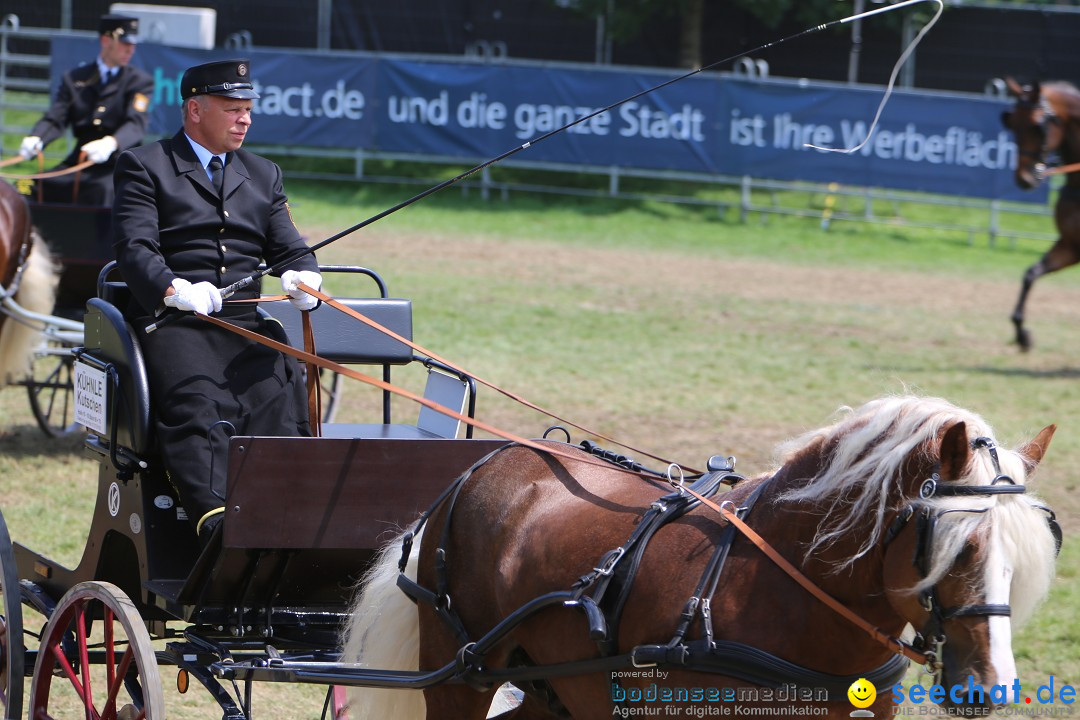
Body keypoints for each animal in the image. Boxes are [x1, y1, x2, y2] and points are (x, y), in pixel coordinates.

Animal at [341, 397, 1058, 716]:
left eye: (1022, 558)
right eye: (956, 546)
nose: (993, 684)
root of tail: (483, 464)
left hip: (553, 687)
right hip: (458, 674)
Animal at [997, 76, 1080, 351]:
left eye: (1038, 126)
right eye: (1011, 122)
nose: (1023, 179)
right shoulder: (1071, 246)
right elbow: (1030, 275)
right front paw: (1022, 333)